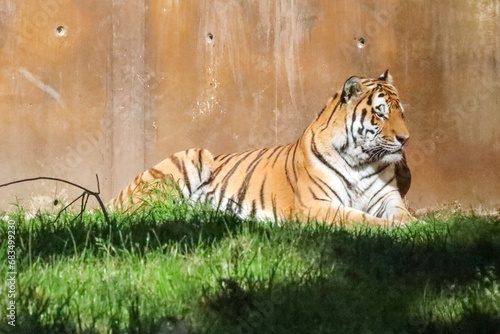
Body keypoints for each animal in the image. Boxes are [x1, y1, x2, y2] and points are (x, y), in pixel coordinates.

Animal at [109, 71, 414, 227]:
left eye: (402, 113)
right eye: (380, 113)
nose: (405, 138)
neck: (361, 161)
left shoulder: (388, 198)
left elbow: (402, 214)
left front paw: (414, 225)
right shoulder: (316, 204)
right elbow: (360, 219)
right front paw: (398, 229)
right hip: (191, 158)